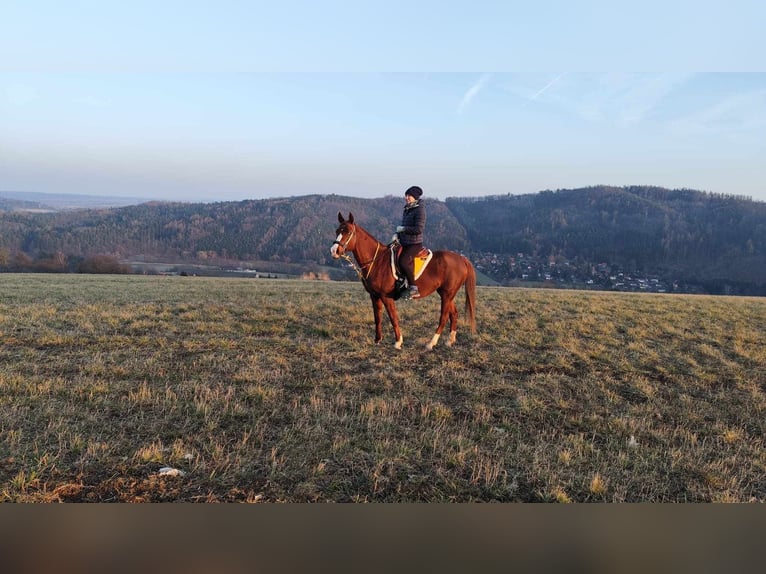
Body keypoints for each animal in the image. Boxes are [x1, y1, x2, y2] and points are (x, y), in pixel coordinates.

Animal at [332, 213, 476, 352]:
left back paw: (431, 343)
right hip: (446, 294)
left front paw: (398, 342)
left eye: (348, 232)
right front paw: (378, 340)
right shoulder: (374, 296)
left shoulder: (386, 296)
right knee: (454, 314)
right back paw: (450, 341)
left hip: (447, 294)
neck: (377, 261)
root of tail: (462, 259)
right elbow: (377, 318)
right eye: (337, 231)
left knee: (444, 317)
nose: (334, 251)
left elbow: (393, 318)